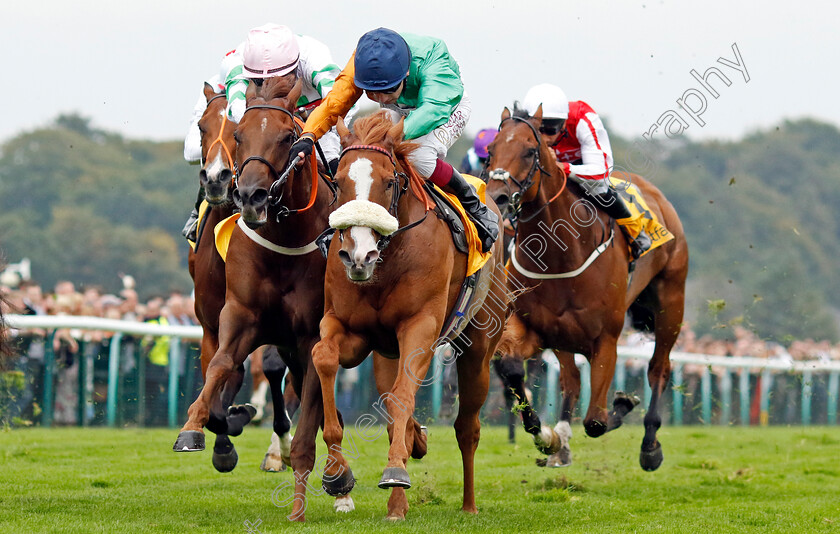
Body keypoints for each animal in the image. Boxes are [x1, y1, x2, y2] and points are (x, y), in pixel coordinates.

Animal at [314, 111, 512, 520]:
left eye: (389, 182)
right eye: (337, 182)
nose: (358, 256)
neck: (388, 260)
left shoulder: (421, 328)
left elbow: (403, 397)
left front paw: (395, 470)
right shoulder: (349, 329)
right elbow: (323, 357)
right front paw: (337, 474)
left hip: (479, 347)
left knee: (467, 426)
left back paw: (467, 504)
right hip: (385, 354)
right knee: (392, 407)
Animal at [486, 104, 688, 474]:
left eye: (530, 150)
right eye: (491, 150)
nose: (498, 198)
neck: (560, 253)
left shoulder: (605, 340)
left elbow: (596, 421)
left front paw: (622, 405)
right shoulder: (534, 328)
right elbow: (511, 368)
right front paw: (547, 436)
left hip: (671, 302)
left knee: (658, 369)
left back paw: (650, 445)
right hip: (565, 336)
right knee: (571, 380)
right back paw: (562, 443)